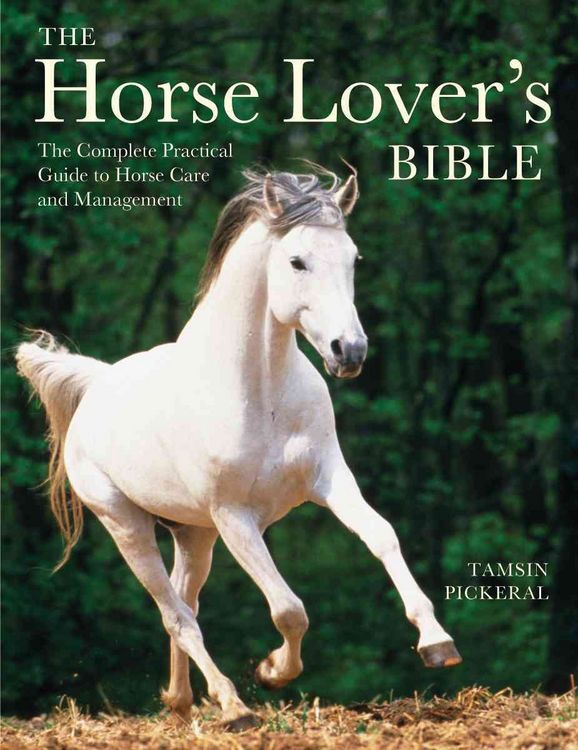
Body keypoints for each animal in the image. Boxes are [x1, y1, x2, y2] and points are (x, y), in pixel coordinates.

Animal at [16, 167, 461, 730]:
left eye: (354, 258)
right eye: (296, 261)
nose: (350, 352)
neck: (260, 390)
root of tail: (96, 385)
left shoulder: (330, 479)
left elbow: (382, 536)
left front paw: (436, 642)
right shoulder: (235, 517)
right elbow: (289, 608)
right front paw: (272, 672)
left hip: (194, 534)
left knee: (185, 600)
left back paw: (181, 699)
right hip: (128, 525)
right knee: (176, 613)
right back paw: (232, 705)